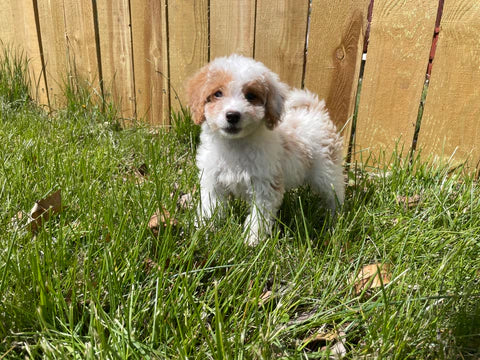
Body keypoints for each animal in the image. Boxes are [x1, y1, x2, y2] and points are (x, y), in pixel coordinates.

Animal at [188, 54, 344, 245]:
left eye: (250, 96)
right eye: (217, 93)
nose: (232, 115)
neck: (236, 144)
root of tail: (316, 111)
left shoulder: (265, 185)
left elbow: (259, 216)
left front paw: (252, 240)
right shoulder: (212, 180)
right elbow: (211, 206)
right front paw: (204, 229)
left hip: (327, 171)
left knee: (335, 193)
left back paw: (334, 217)